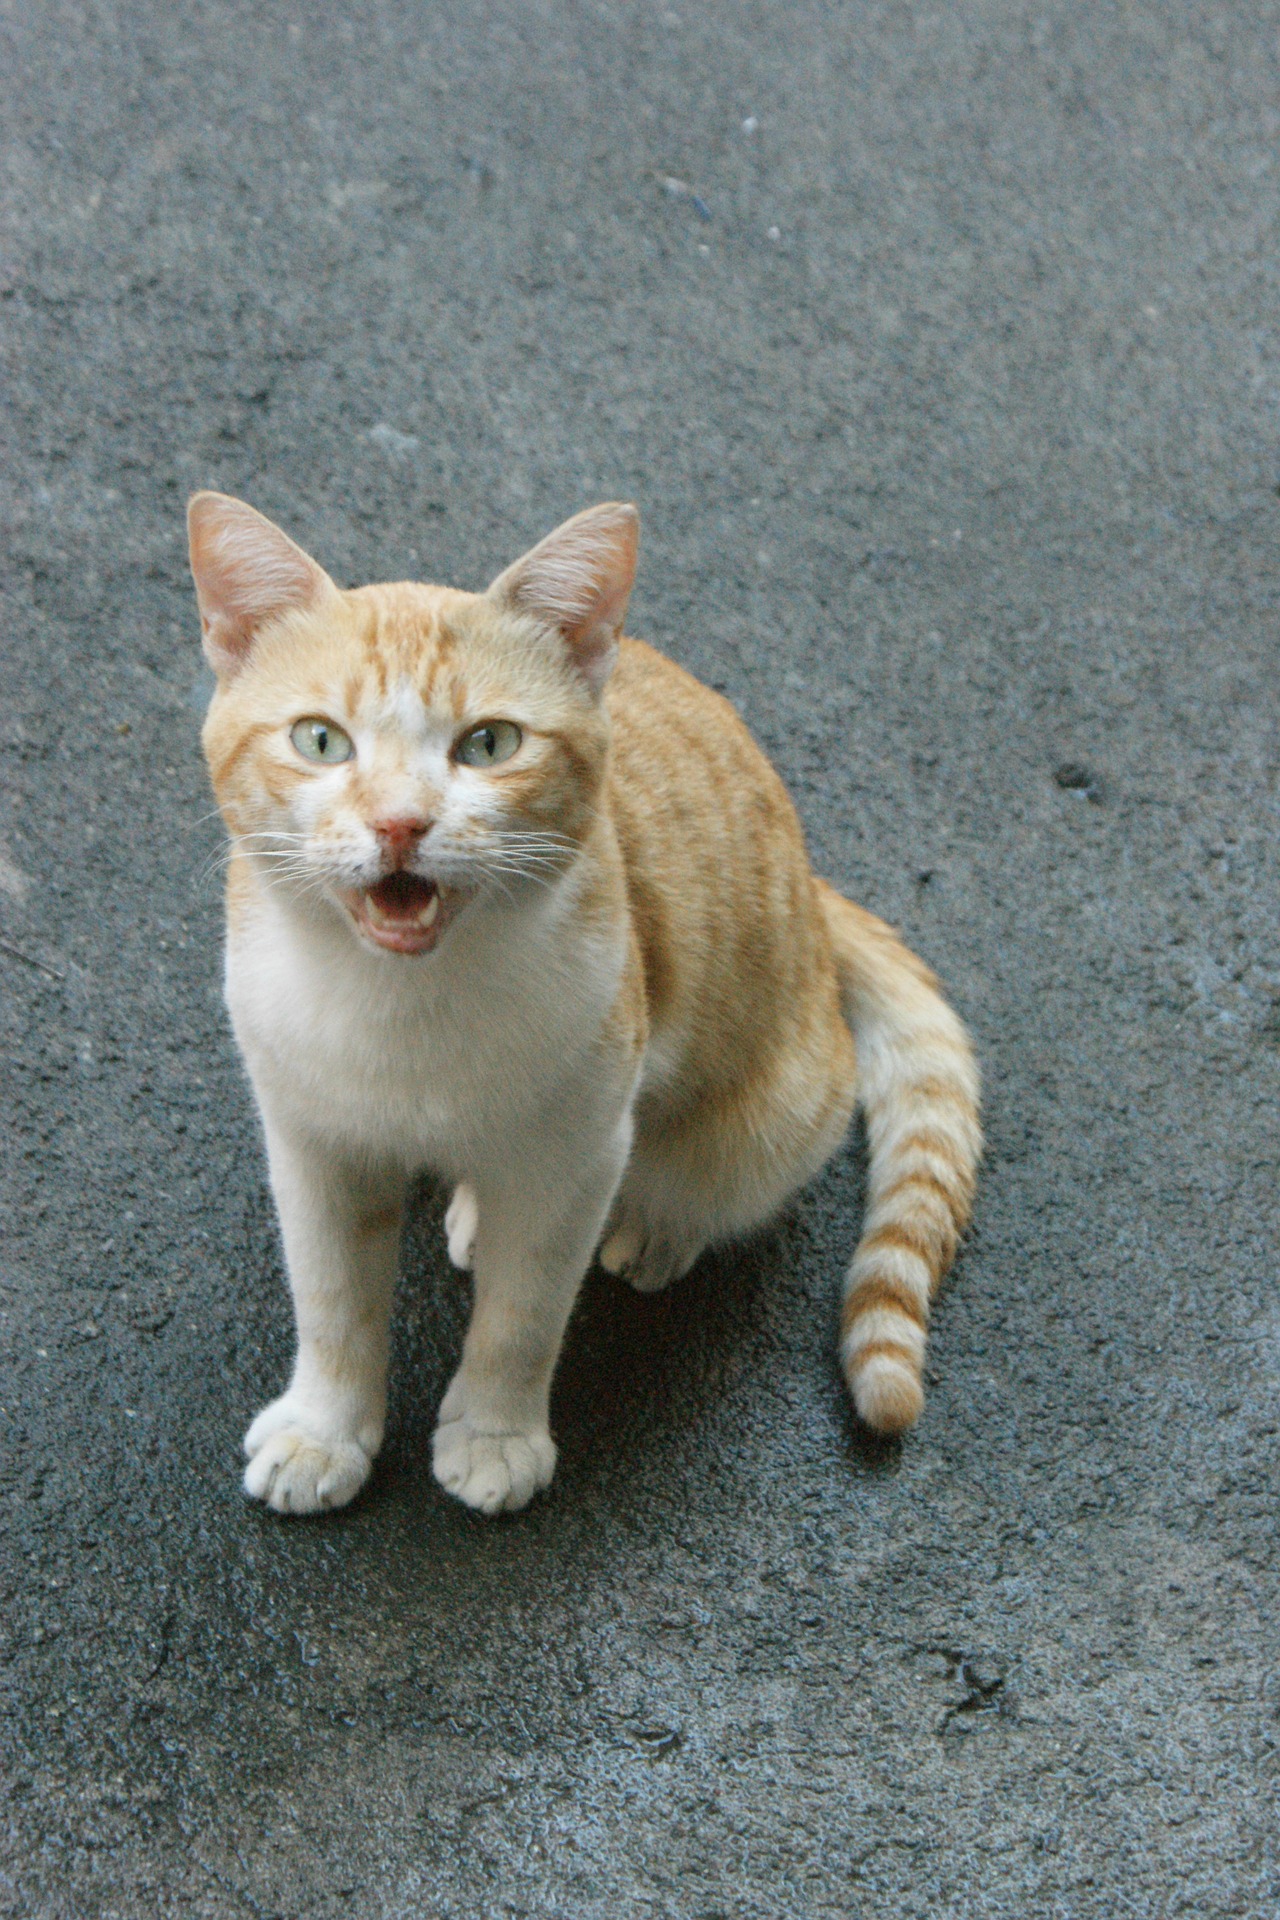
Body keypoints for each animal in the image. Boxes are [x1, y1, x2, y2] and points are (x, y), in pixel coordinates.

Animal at [188, 491, 982, 1512]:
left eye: (489, 744)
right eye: (320, 740)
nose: (400, 823)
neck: (404, 1005)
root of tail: (811, 888)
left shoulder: (578, 1151)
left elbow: (523, 1314)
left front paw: (494, 1434)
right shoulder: (312, 1143)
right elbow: (331, 1300)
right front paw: (326, 1431)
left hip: (764, 1119)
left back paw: (658, 1231)